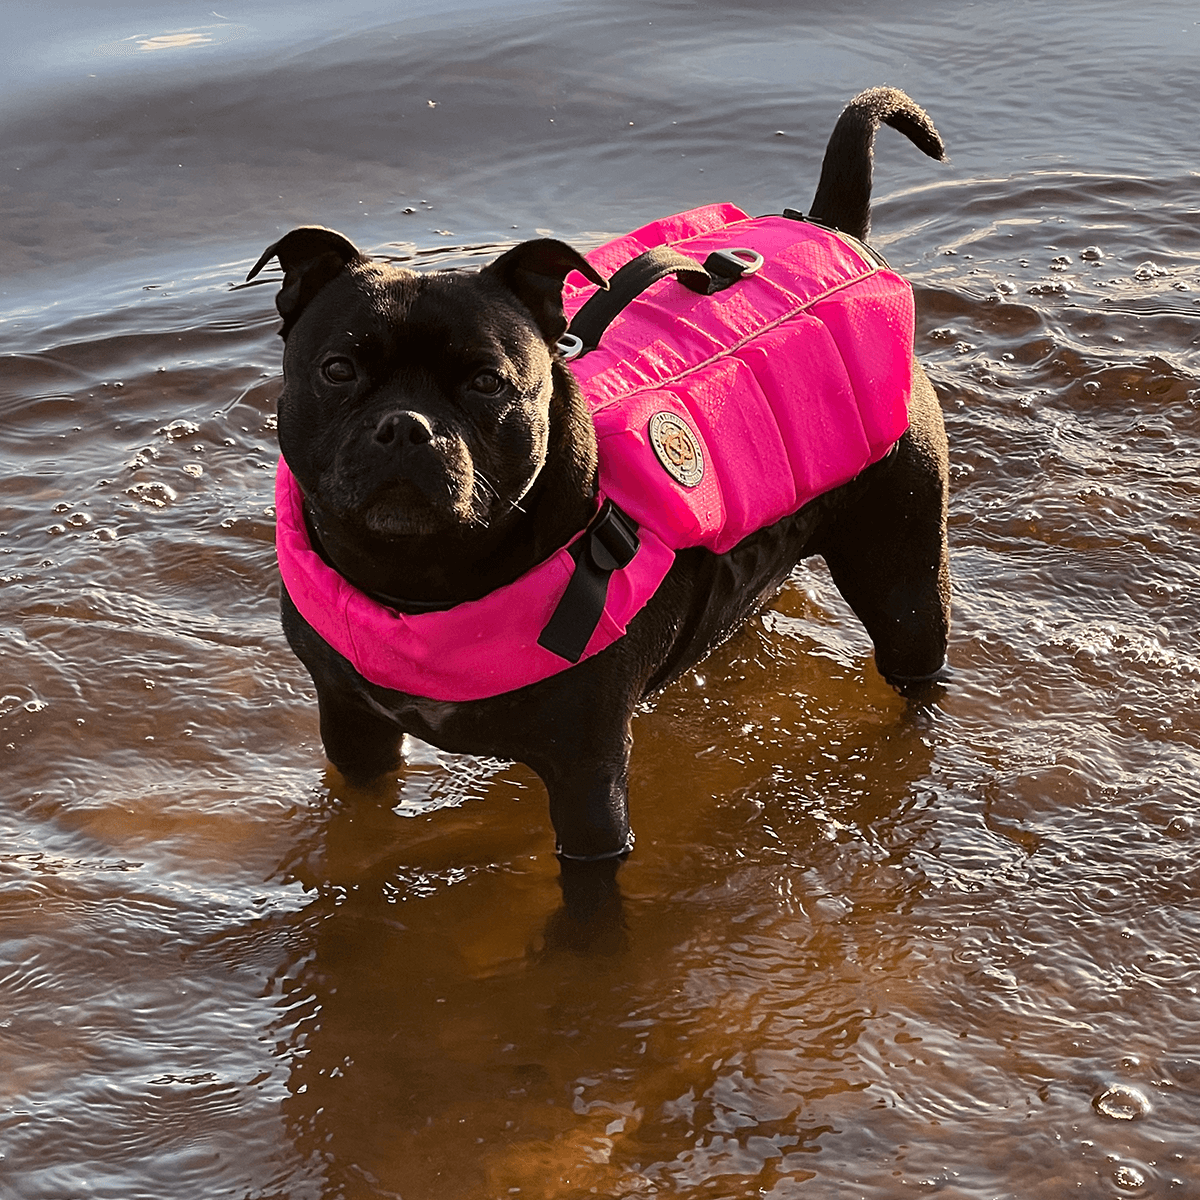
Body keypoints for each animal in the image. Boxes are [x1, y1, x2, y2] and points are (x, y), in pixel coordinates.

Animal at [248, 88, 950, 868]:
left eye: (488, 382)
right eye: (337, 369)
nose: (406, 425)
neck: (418, 581)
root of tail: (833, 228)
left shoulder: (587, 779)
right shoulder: (352, 726)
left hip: (902, 571)